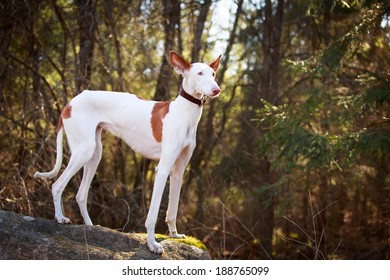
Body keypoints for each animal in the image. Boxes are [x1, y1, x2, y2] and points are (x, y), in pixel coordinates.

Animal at [35, 50, 222, 254]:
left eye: (213, 74)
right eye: (199, 73)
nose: (217, 90)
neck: (184, 112)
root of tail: (70, 102)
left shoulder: (178, 171)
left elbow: (173, 208)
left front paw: (174, 234)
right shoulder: (163, 169)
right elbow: (153, 215)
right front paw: (152, 244)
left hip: (95, 154)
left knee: (81, 195)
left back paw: (91, 226)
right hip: (84, 151)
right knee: (57, 185)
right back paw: (60, 218)